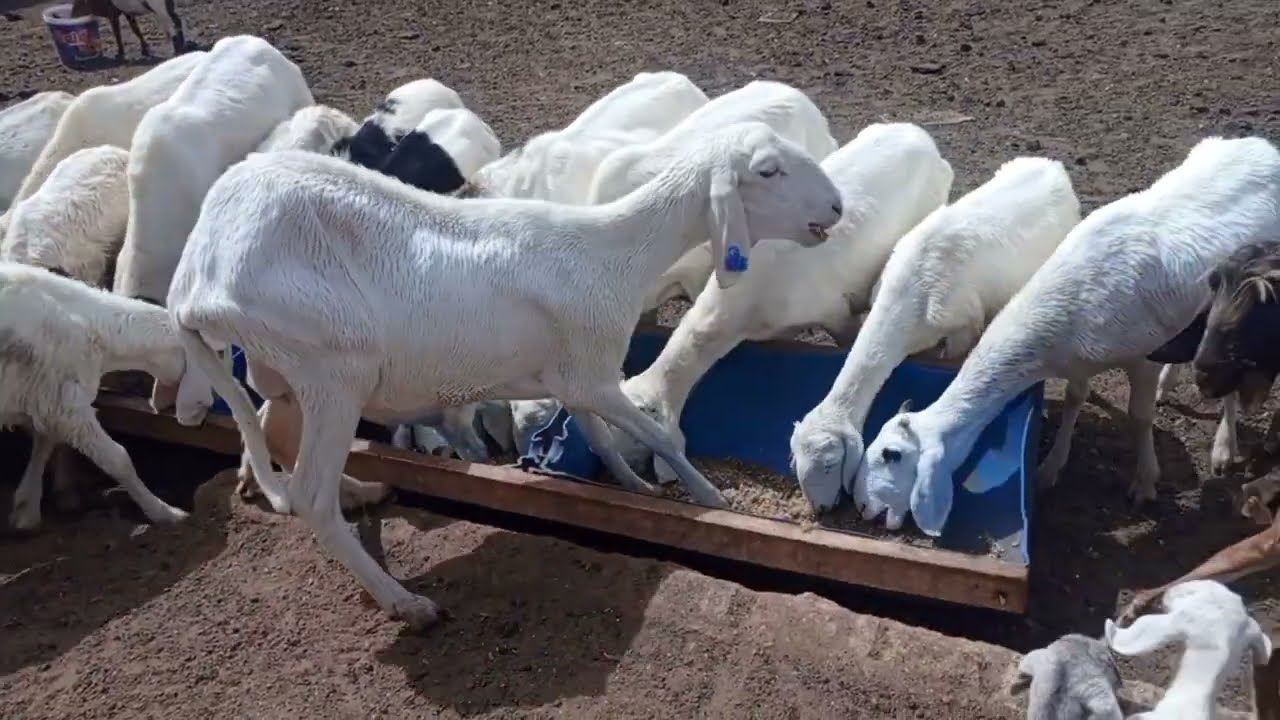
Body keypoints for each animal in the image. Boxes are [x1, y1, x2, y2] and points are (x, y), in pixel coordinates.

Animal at [1, 262, 210, 530]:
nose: (207, 406)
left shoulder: (50, 399)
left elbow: (45, 442)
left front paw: (26, 508)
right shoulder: (66, 406)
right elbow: (118, 459)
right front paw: (165, 513)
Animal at [165, 122, 844, 628]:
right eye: (767, 170)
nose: (837, 207)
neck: (616, 251)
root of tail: (195, 273)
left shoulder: (576, 375)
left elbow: (600, 437)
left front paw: (634, 488)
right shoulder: (593, 375)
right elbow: (659, 436)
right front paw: (712, 500)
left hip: (281, 369)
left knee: (272, 433)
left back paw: (357, 492)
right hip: (330, 369)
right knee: (309, 494)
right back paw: (404, 602)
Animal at [790, 156, 1080, 513]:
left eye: (830, 464)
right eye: (795, 460)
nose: (820, 510)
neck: (909, 294)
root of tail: (1053, 165)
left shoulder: (963, 328)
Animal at [856, 135, 1280, 537]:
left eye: (891, 454)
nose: (861, 506)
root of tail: (1262, 146)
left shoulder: (1143, 356)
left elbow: (1139, 417)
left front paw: (1145, 482)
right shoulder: (1078, 362)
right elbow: (1076, 399)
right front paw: (1049, 469)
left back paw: (1223, 447)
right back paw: (1170, 385)